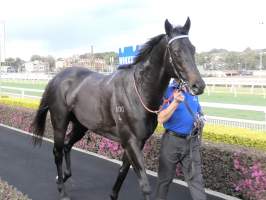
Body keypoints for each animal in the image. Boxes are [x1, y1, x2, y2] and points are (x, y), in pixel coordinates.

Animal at [31, 18, 206, 199]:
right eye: (176, 51)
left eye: (193, 49)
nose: (198, 85)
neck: (139, 91)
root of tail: (56, 78)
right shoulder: (130, 140)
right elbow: (144, 184)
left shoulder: (138, 142)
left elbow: (123, 170)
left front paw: (113, 195)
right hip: (60, 122)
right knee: (57, 151)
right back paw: (62, 189)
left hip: (81, 125)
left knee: (67, 145)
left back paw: (65, 175)